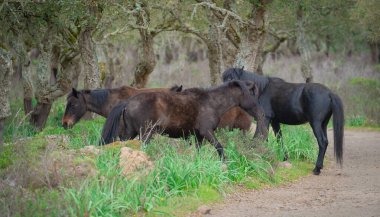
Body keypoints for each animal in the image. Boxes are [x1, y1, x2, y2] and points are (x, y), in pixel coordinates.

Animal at [100, 80, 268, 159]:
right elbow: (220, 148)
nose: (261, 114)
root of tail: (128, 102)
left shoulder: (198, 136)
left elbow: (198, 151)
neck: (210, 103)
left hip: (130, 133)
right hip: (146, 134)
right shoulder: (207, 132)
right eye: (252, 93)